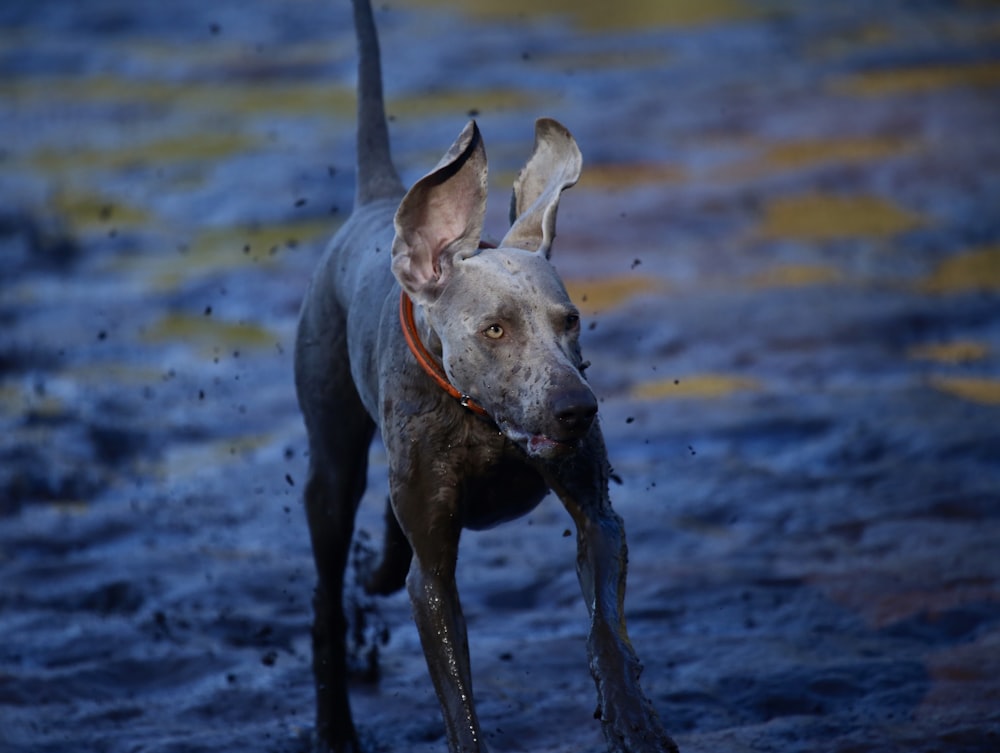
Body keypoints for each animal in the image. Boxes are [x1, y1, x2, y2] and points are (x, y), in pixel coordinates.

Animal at [292, 1, 680, 752]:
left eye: (570, 321)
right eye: (495, 329)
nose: (577, 409)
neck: (481, 424)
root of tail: (376, 199)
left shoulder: (597, 513)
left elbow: (606, 626)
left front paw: (633, 717)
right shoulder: (434, 578)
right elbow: (457, 692)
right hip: (331, 459)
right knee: (327, 589)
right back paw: (334, 723)